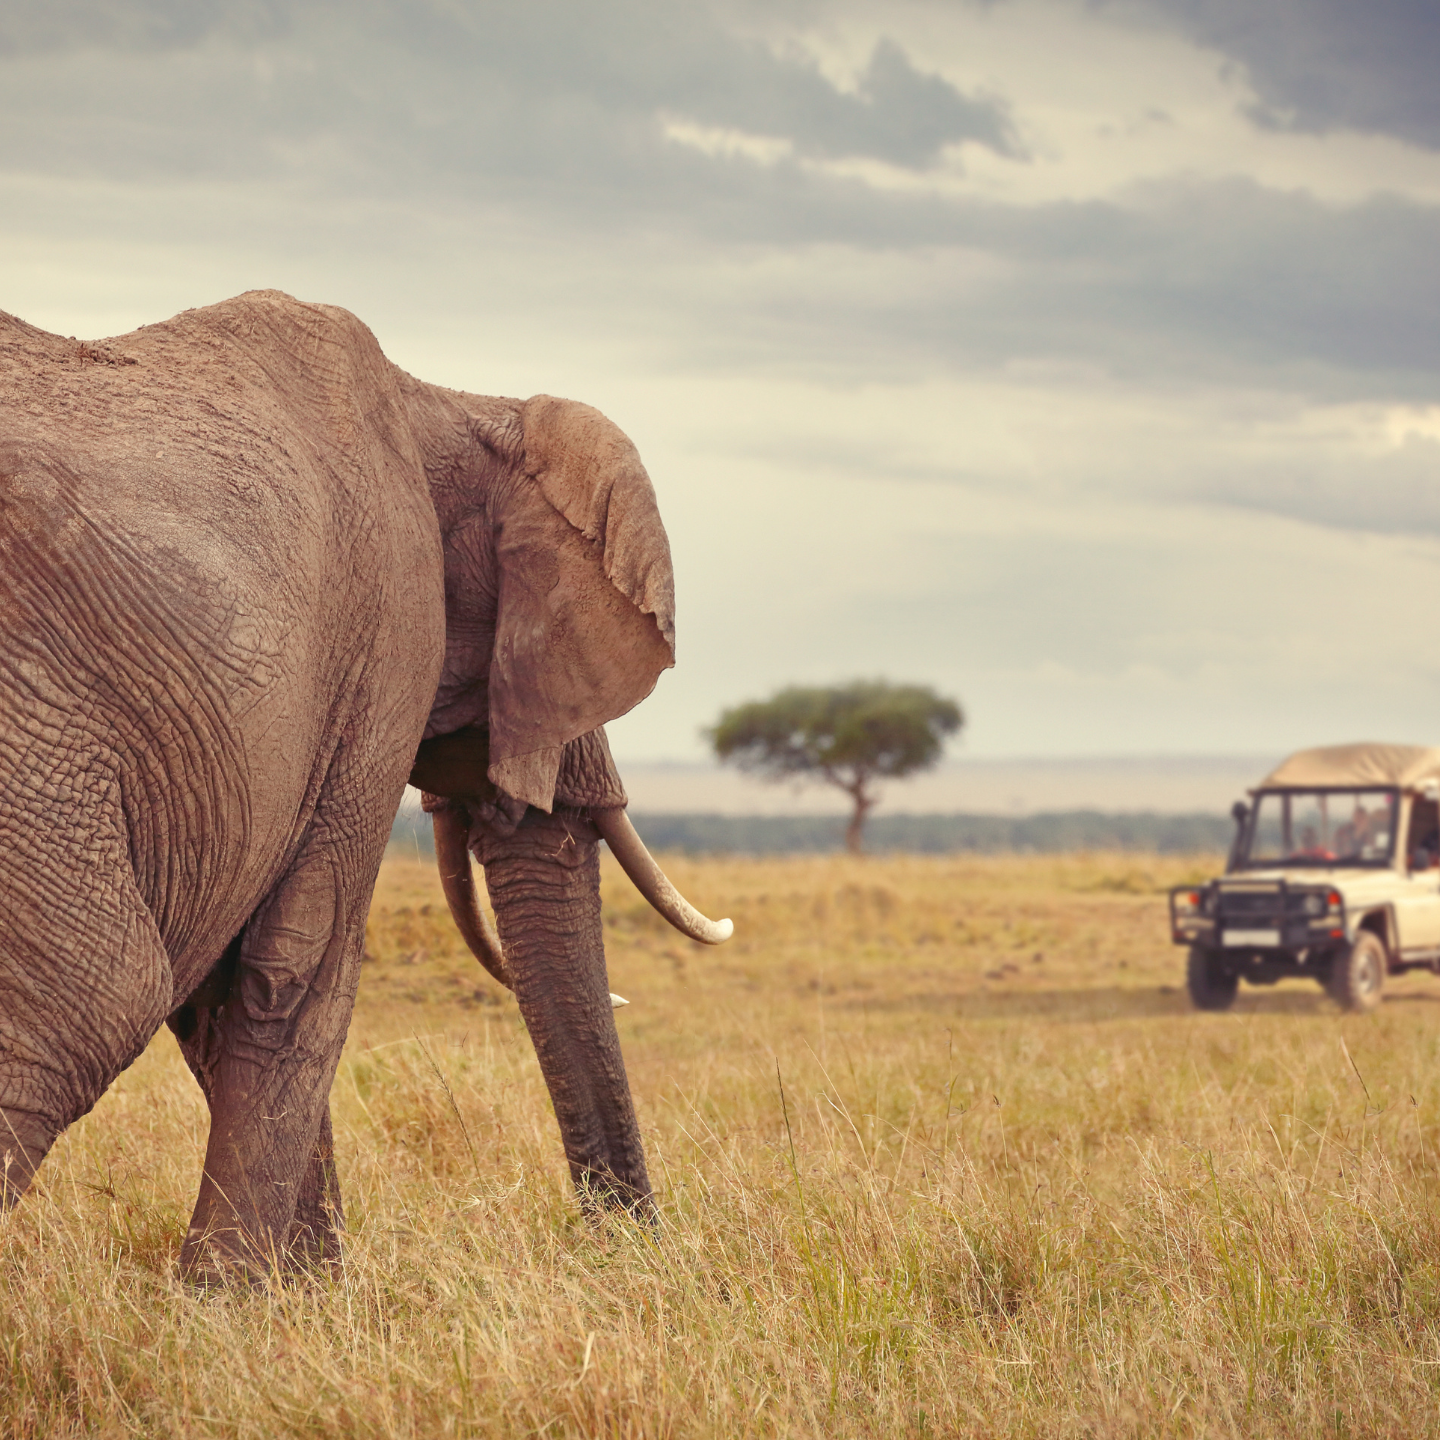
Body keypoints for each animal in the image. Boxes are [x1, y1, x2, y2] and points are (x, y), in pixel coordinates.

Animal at [0, 289, 731, 1280]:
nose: (632, 1253)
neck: (451, 403)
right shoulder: (388, 634)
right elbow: (298, 959)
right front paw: (234, 1297)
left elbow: (229, 979)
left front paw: (301, 1292)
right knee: (88, 1003)